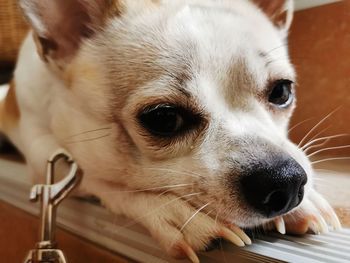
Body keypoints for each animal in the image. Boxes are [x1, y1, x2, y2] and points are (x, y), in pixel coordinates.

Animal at [0, 0, 340, 262]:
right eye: (164, 118)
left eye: (282, 91)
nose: (285, 180)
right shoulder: (42, 155)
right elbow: (100, 177)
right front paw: (175, 211)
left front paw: (307, 201)